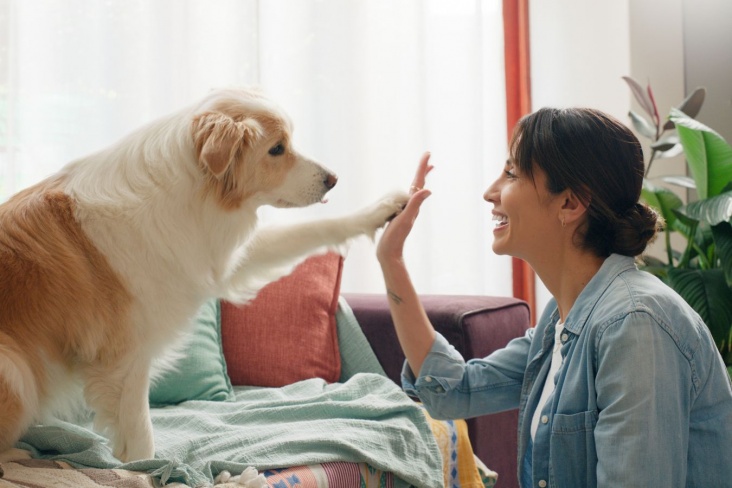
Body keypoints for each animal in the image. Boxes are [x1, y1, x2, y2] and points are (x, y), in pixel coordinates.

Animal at [0, 86, 408, 462]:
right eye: (277, 149)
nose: (333, 179)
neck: (192, 192)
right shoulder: (125, 359)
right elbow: (140, 438)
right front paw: (145, 472)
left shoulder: (215, 258)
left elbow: (313, 230)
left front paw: (381, 210)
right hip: (15, 370)